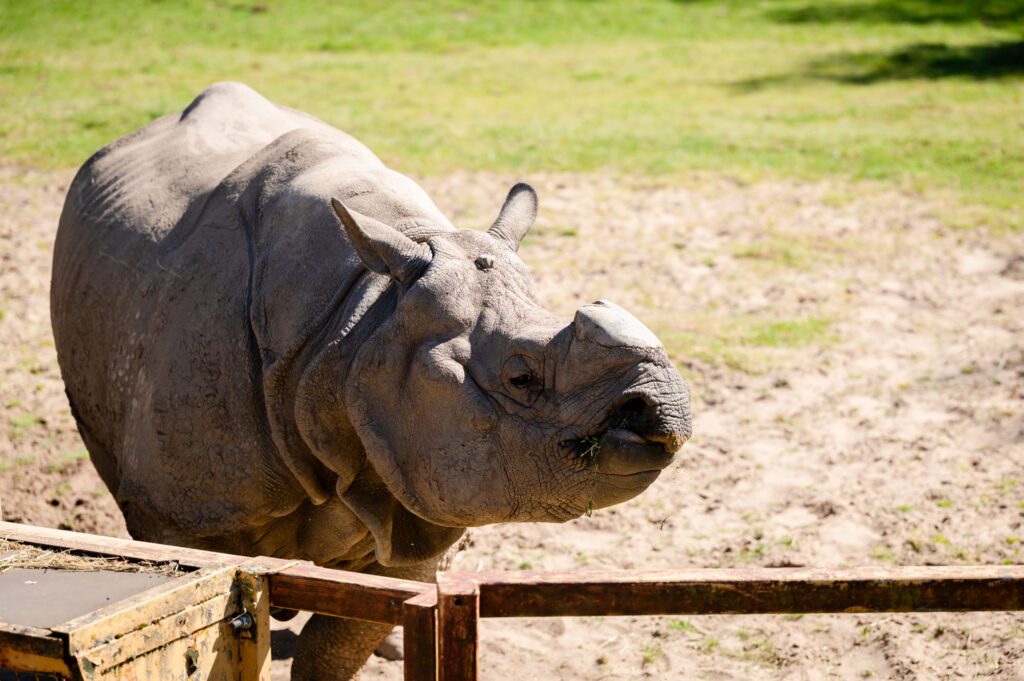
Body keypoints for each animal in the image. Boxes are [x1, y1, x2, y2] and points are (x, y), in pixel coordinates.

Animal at [51, 82, 692, 679]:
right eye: (520, 376)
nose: (664, 409)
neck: (360, 326)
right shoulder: (185, 518)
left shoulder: (420, 493)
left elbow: (335, 649)